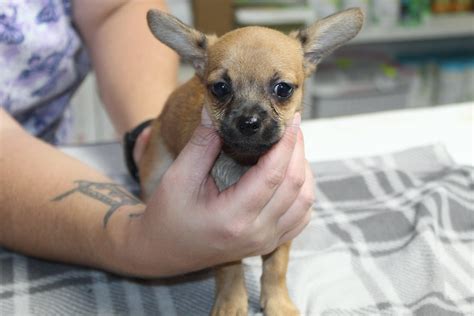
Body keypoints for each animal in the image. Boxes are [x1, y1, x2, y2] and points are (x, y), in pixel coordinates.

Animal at [141, 8, 362, 316]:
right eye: (220, 88)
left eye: (283, 89)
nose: (249, 121)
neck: (245, 162)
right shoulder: (220, 241)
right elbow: (230, 270)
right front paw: (232, 302)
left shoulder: (284, 230)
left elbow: (276, 268)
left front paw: (279, 303)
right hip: (155, 173)